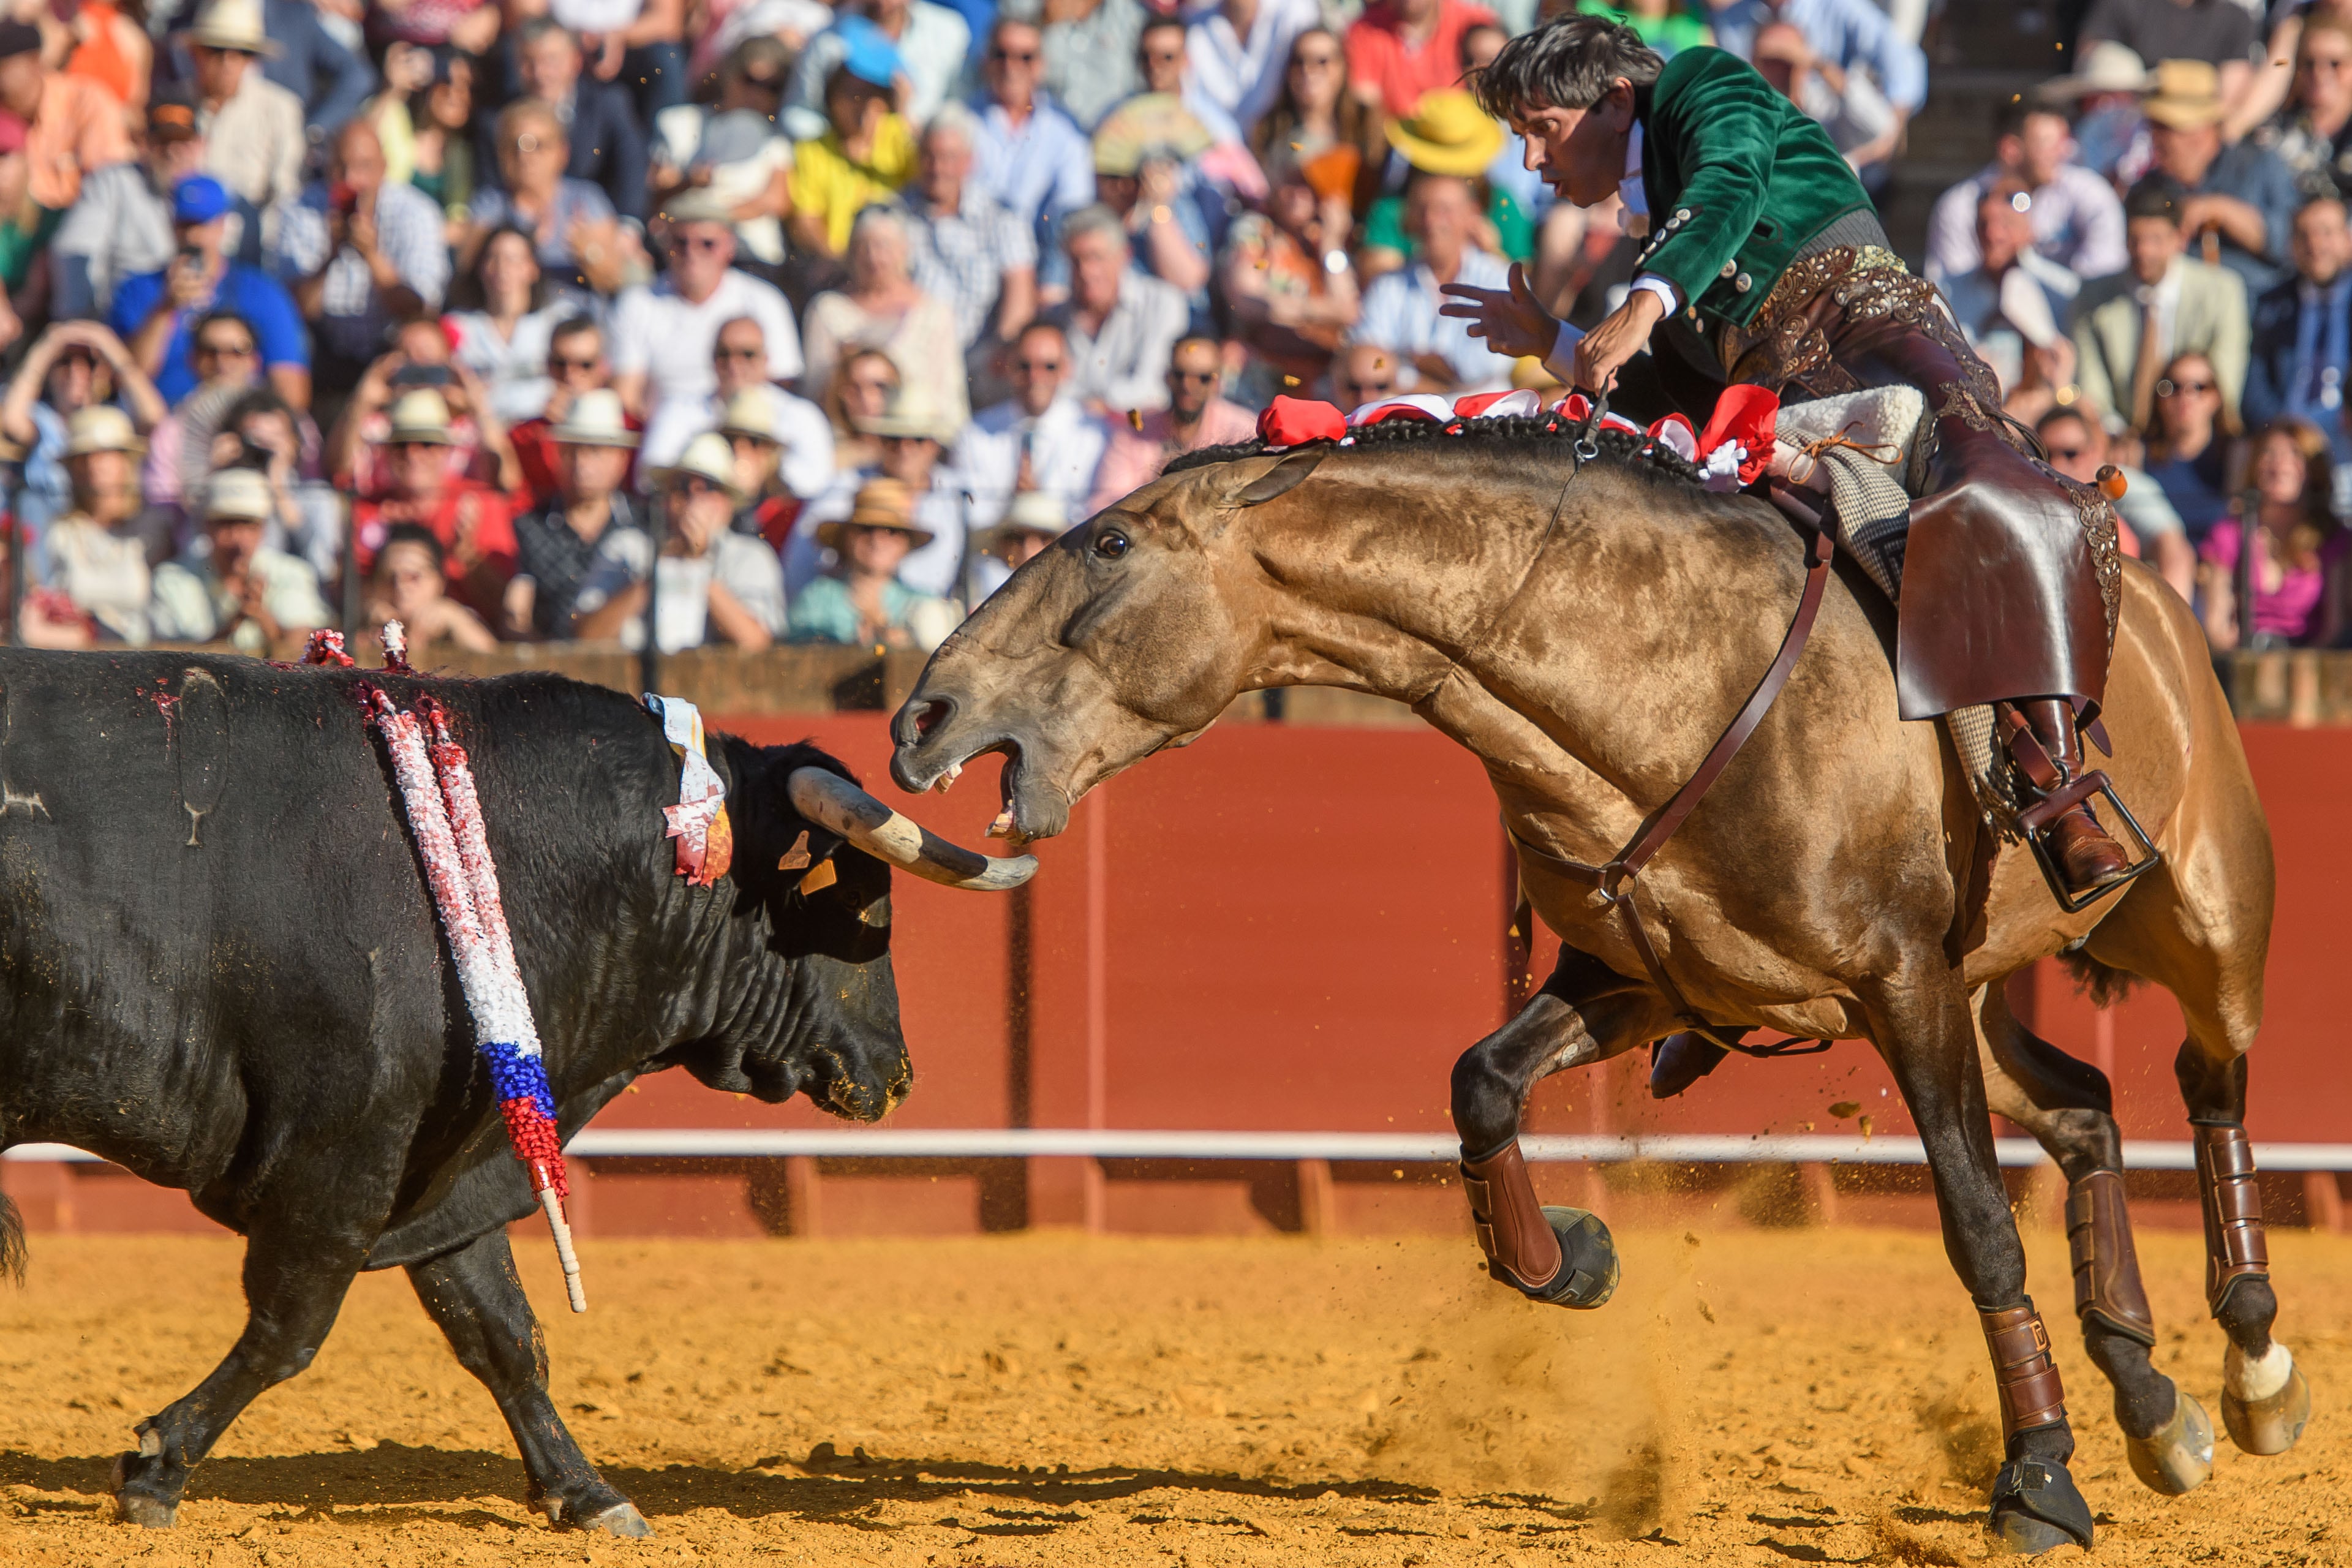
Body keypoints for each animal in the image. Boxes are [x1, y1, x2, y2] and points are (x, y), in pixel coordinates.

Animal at [0, 649, 931, 1532]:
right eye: (861, 906)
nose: (897, 1075)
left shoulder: (450, 1161)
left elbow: (502, 1331)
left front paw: (589, 1494)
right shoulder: (343, 1159)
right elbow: (290, 1329)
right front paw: (156, 1468)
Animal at [889, 416, 2305, 1561]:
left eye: (1110, 541)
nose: (920, 715)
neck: (1653, 684)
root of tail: (2152, 595)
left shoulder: (1902, 985)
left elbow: (1976, 1225)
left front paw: (2039, 1480)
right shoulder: (1652, 982)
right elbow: (1481, 1082)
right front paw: (1568, 1258)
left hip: (2202, 918)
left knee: (2210, 1073)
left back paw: (2254, 1362)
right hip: (1981, 1000)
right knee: (2083, 1104)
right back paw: (2154, 1402)